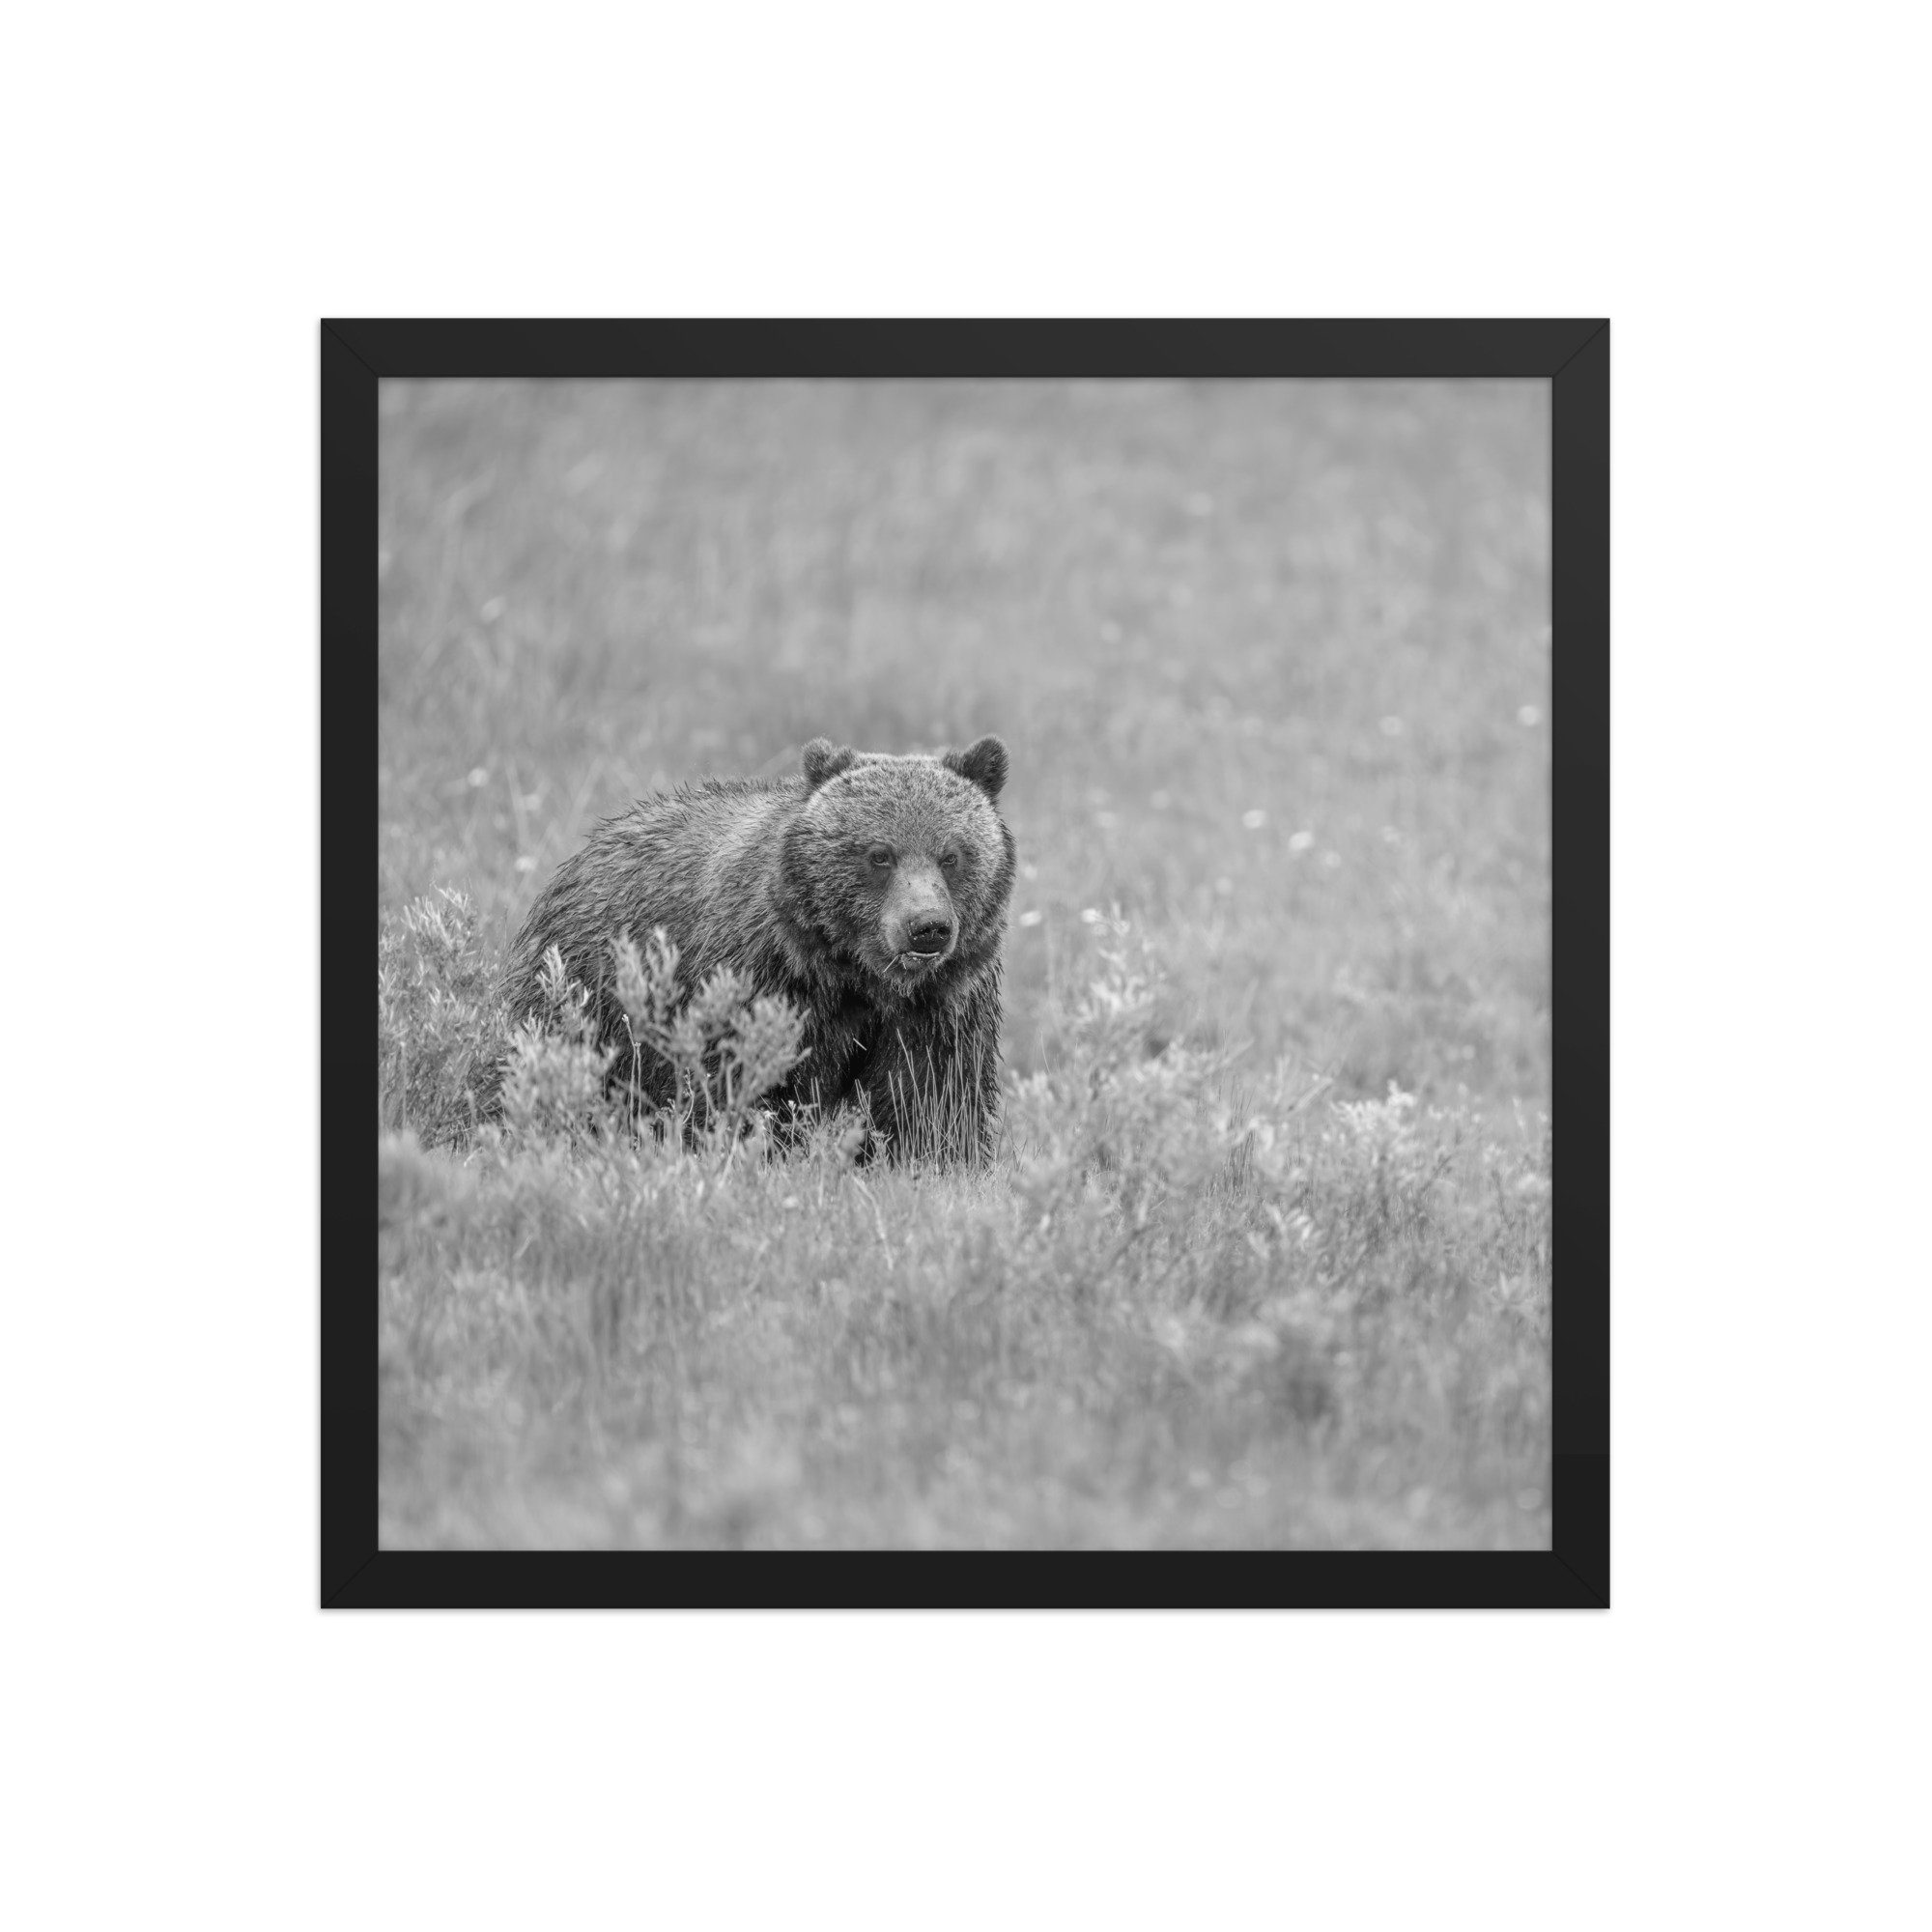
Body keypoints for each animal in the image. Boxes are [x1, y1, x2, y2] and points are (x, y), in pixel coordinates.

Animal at [499, 735, 1016, 1161]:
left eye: (951, 855)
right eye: (879, 854)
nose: (927, 927)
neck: (857, 976)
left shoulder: (941, 1005)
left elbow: (931, 1100)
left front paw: (933, 1161)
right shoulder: (764, 979)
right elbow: (745, 1083)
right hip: (587, 989)